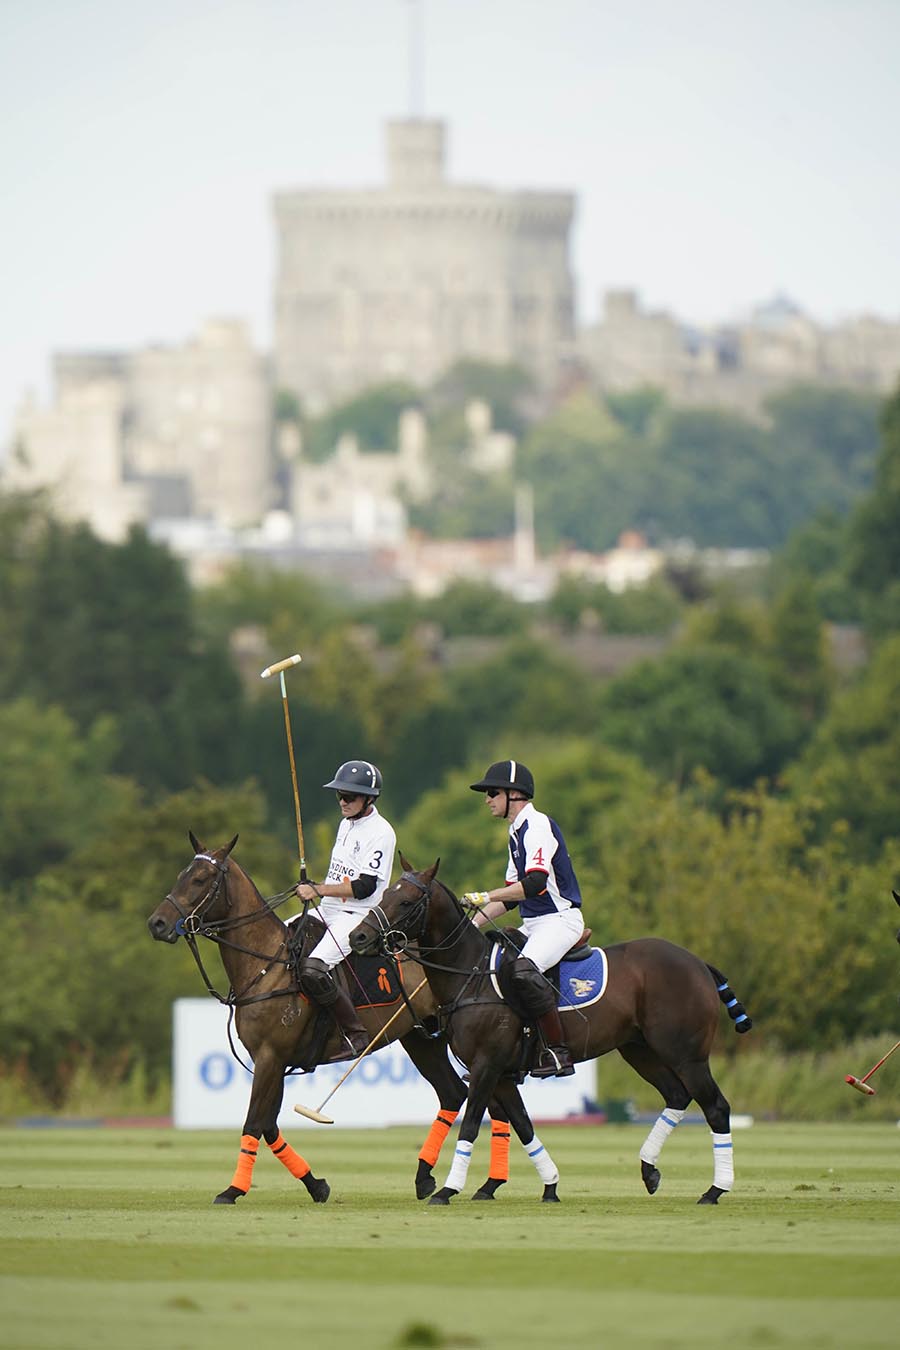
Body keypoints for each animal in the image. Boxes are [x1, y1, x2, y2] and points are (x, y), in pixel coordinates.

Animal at [148, 831, 528, 1204]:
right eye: (182, 875)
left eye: (201, 879)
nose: (157, 924)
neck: (266, 964)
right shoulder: (273, 1061)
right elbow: (269, 1124)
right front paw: (316, 1185)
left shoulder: (271, 1056)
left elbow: (254, 1122)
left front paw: (232, 1190)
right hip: (421, 1038)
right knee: (455, 1093)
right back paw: (430, 1178)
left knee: (482, 1098)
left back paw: (480, 1183)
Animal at [350, 858, 755, 1209]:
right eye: (384, 895)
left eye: (405, 900)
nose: (358, 937)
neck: (471, 974)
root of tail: (698, 962)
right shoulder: (501, 1074)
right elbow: (523, 1124)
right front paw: (549, 1185)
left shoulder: (486, 1065)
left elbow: (471, 1125)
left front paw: (448, 1189)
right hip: (639, 1050)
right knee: (676, 1095)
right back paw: (649, 1170)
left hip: (686, 1054)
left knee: (715, 1107)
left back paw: (714, 1189)